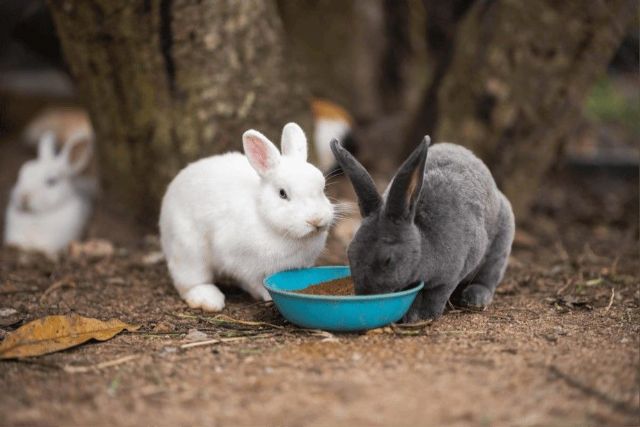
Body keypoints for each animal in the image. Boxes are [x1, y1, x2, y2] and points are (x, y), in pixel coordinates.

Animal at [159, 122, 336, 312]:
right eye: (282, 194)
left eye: (322, 188)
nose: (316, 219)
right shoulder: (244, 266)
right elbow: (256, 284)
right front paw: (268, 297)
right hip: (189, 251)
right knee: (189, 281)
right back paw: (209, 300)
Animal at [330, 137, 516, 320]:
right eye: (350, 253)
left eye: (388, 260)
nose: (366, 294)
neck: (423, 242)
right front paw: (410, 316)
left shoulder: (452, 276)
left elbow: (437, 296)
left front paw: (426, 316)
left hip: (500, 246)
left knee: (489, 277)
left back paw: (475, 298)